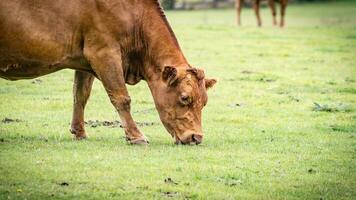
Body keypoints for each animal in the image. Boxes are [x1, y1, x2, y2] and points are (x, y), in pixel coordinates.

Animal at [0, 0, 217, 145]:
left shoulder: (85, 59)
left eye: (204, 102)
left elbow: (80, 95)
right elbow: (122, 98)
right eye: (184, 98)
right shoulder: (104, 53)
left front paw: (80, 132)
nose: (196, 137)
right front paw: (136, 136)